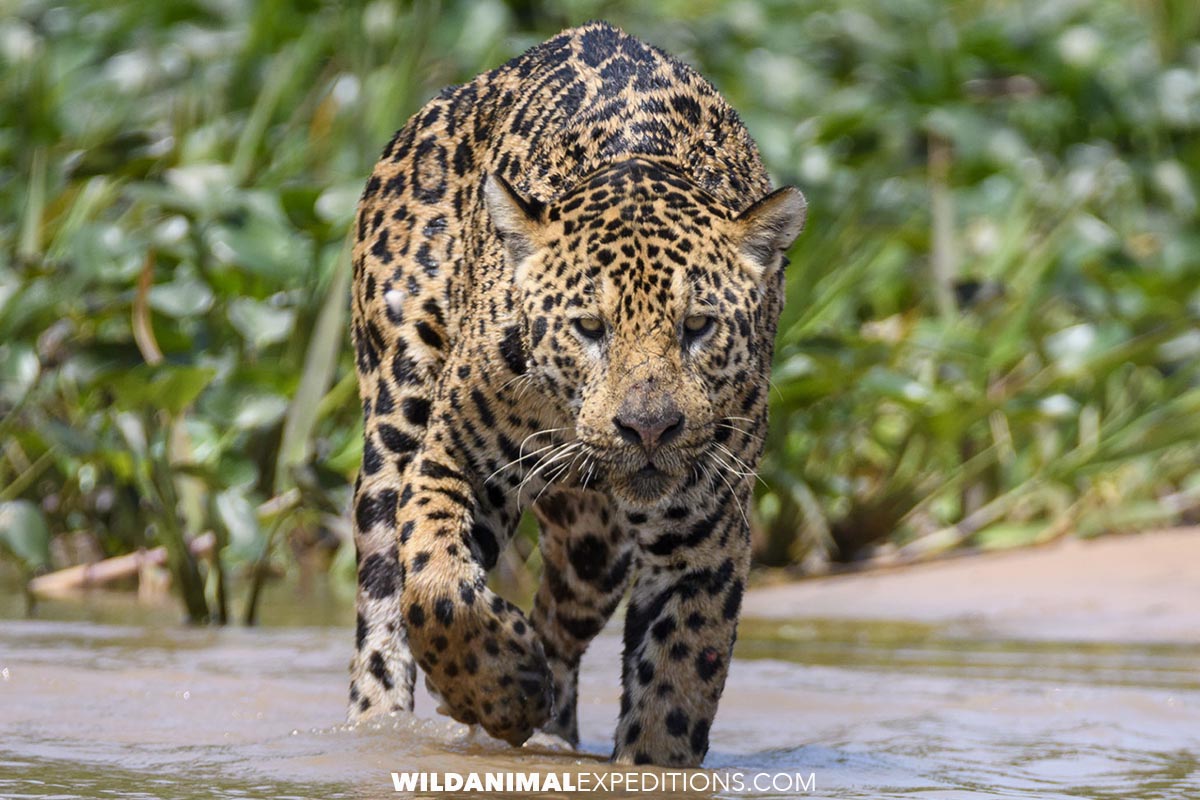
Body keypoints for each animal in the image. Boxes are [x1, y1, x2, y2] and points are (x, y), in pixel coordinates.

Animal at [346, 20, 805, 767]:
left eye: (697, 326)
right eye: (590, 327)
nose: (649, 429)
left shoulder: (703, 539)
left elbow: (677, 683)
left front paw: (633, 757)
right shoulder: (455, 463)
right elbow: (436, 585)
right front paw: (500, 689)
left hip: (598, 547)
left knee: (561, 621)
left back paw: (550, 729)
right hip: (394, 413)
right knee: (386, 584)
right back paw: (384, 723)